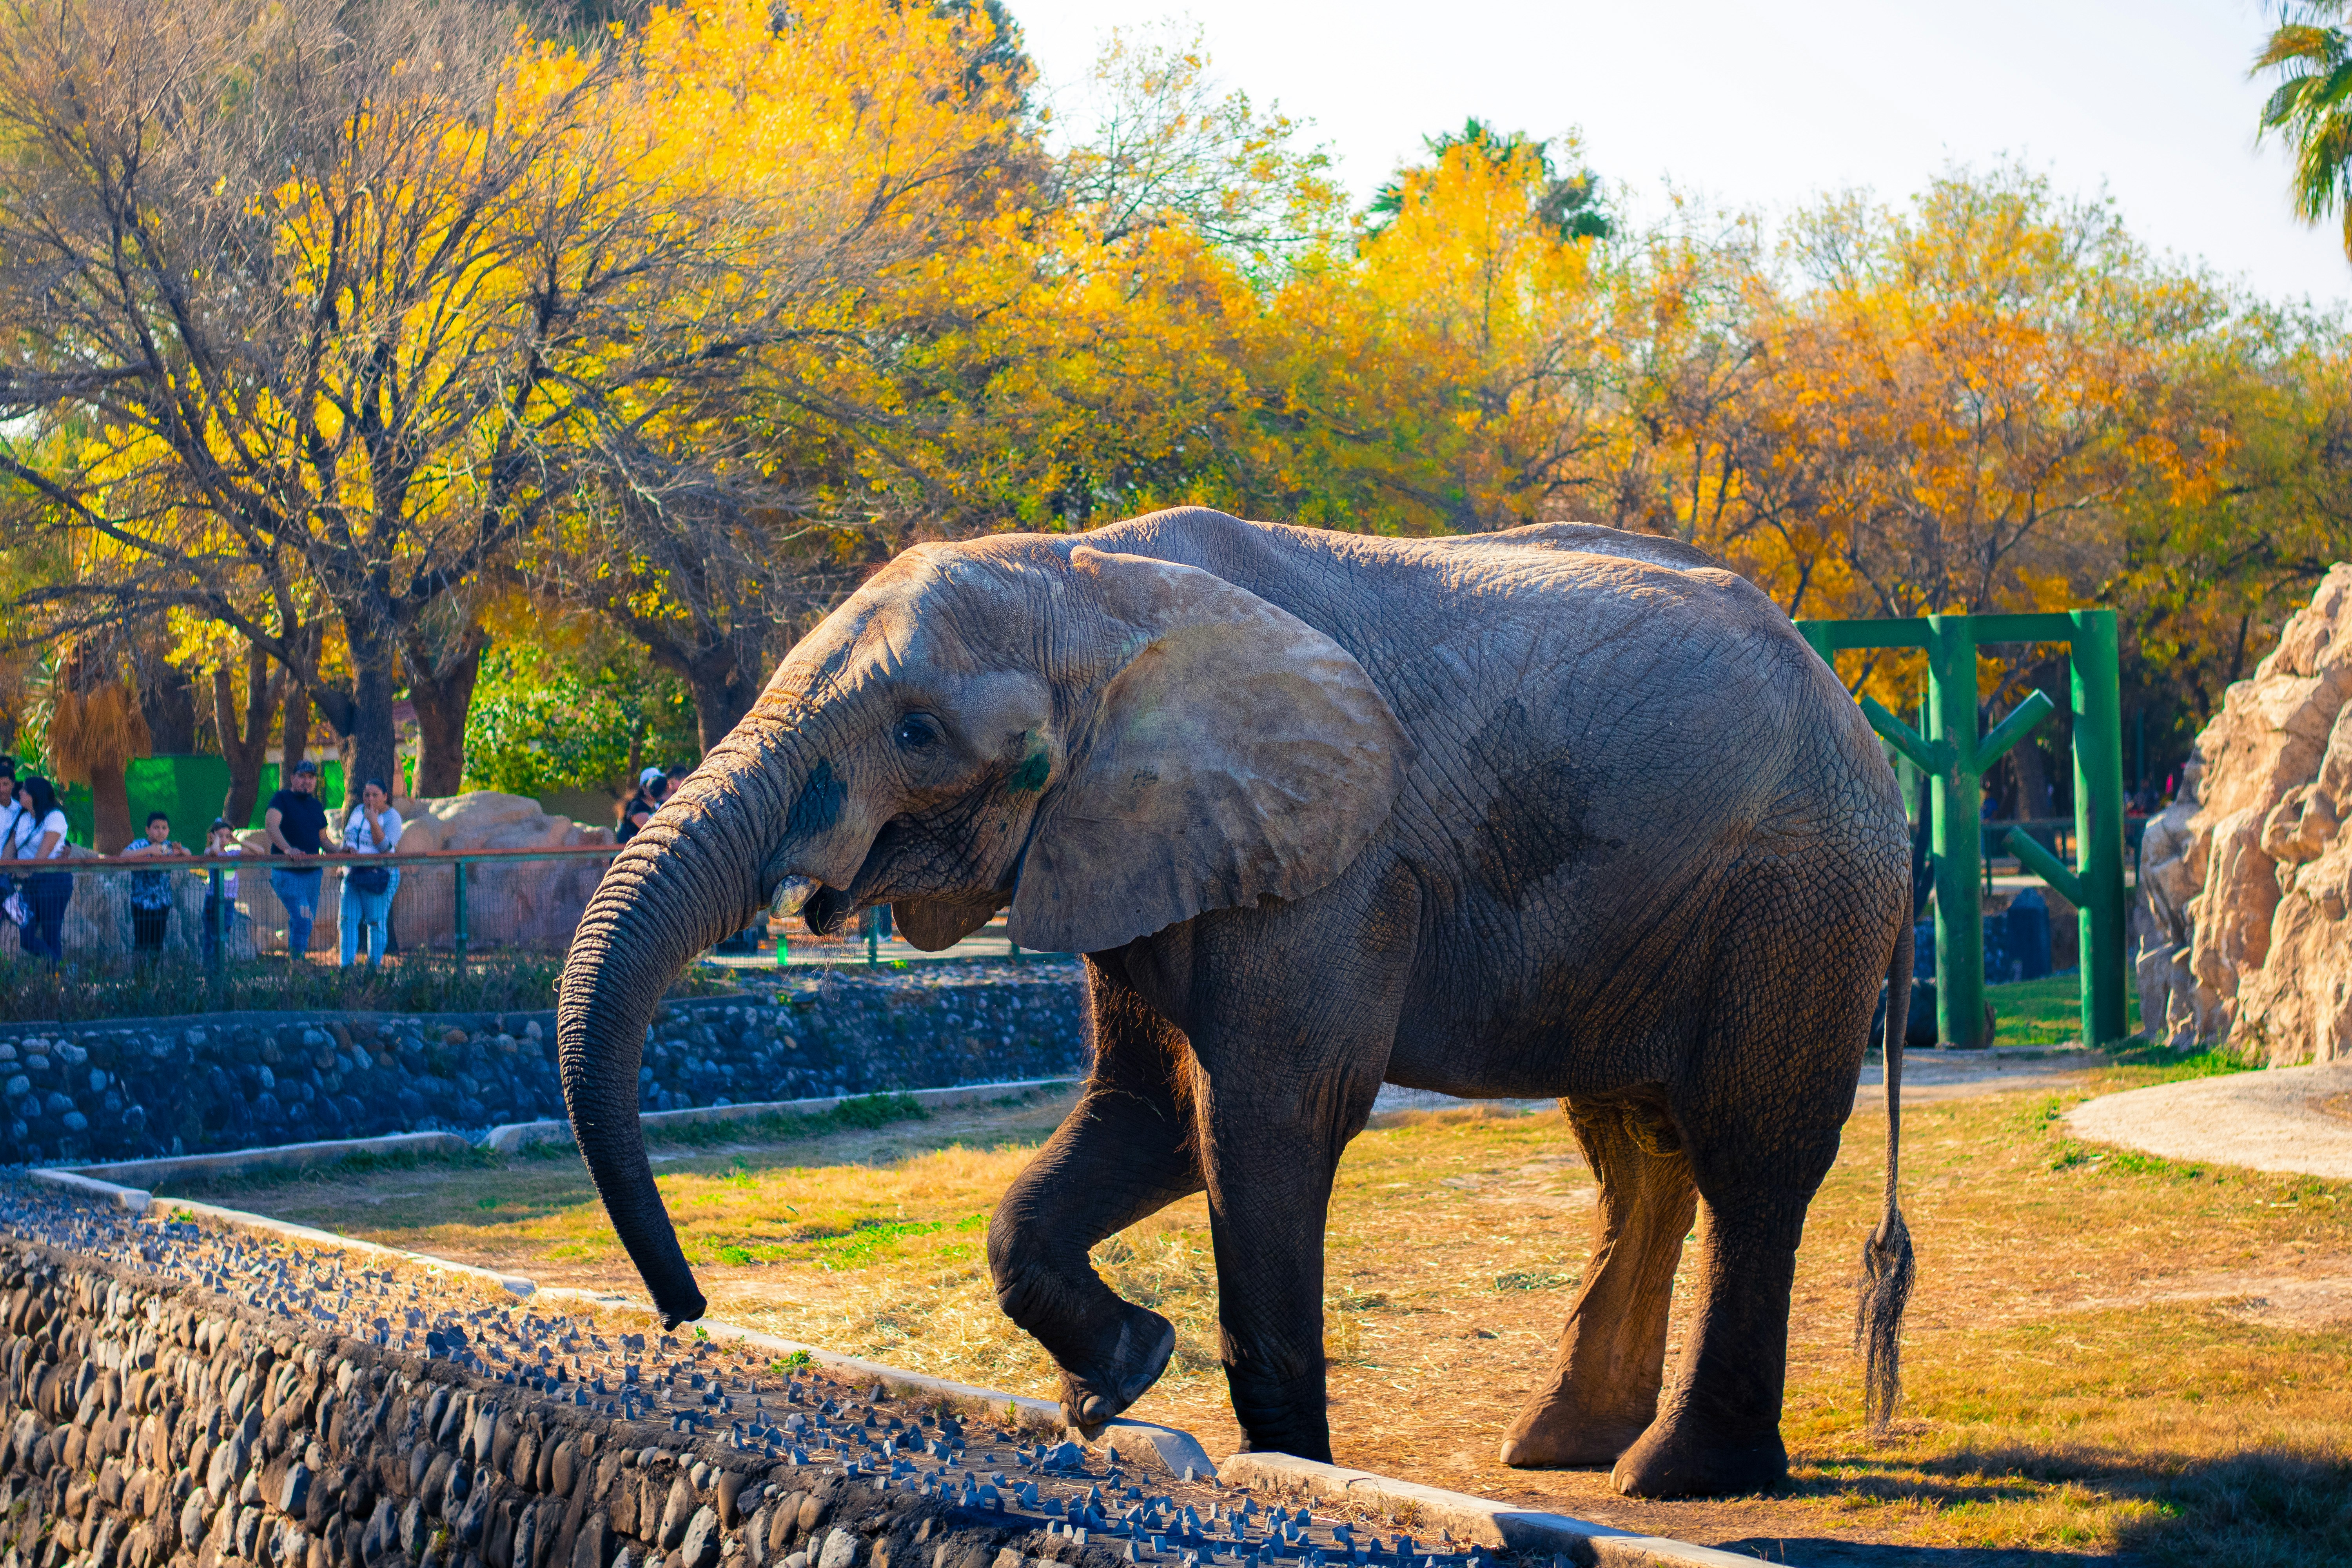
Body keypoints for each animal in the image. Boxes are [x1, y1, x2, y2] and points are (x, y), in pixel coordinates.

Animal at [555, 507, 1917, 1500]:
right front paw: (1117, 1382)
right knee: (1637, 1151)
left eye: (917, 732)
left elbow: (1265, 1120)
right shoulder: (1133, 844)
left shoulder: (1330, 862)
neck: (1096, 580)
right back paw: (1564, 1449)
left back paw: (1678, 1479)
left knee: (1747, 1159)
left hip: (1798, 895)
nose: (686, 1313)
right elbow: (1146, 1117)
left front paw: (1288, 1471)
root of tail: (1853, 713)